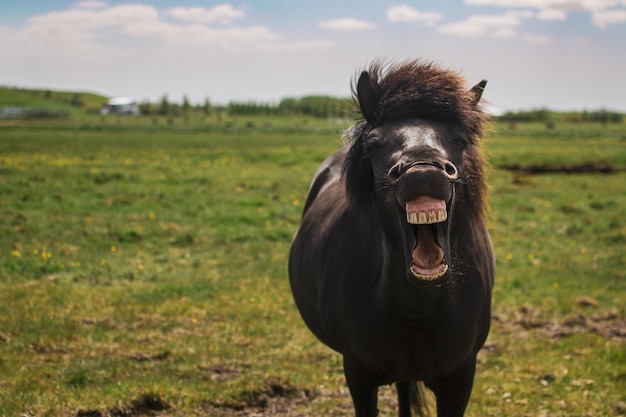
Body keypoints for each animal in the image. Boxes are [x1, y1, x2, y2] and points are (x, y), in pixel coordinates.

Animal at [290, 59, 494, 416]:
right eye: (374, 143)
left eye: (460, 140)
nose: (424, 171)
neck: (418, 308)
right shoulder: (358, 374)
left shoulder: (460, 378)